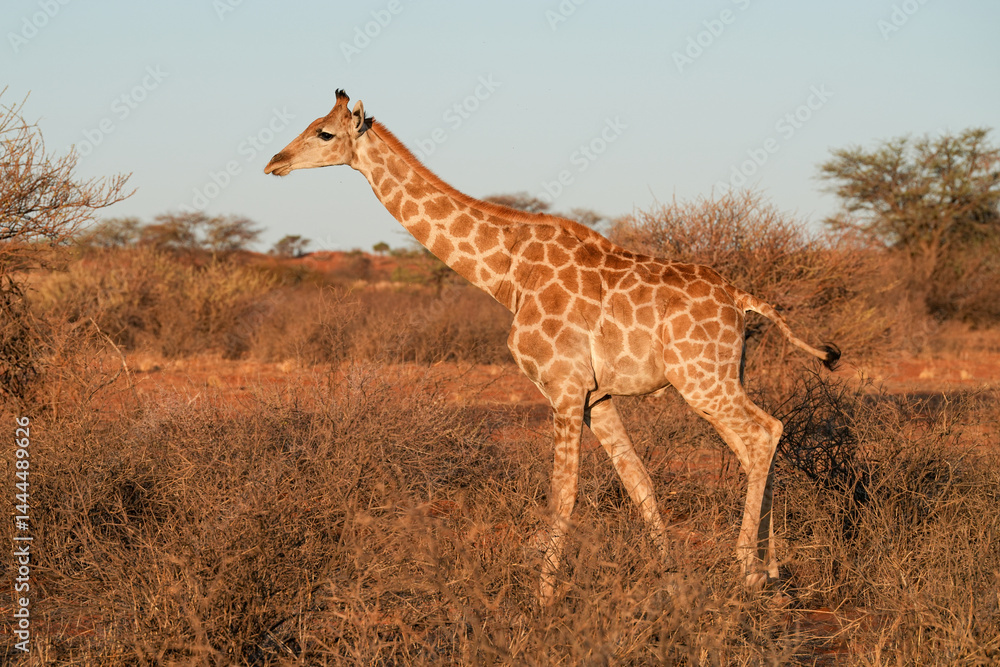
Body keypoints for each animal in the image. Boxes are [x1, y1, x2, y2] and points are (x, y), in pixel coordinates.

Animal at [264, 90, 840, 604]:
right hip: (724, 374)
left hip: (702, 378)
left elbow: (562, 493)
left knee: (764, 432)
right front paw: (672, 582)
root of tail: (743, 299)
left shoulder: (564, 387)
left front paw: (540, 602)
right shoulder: (596, 396)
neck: (508, 274)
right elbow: (640, 482)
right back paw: (771, 570)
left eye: (324, 132)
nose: (274, 162)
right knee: (756, 442)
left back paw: (749, 570)